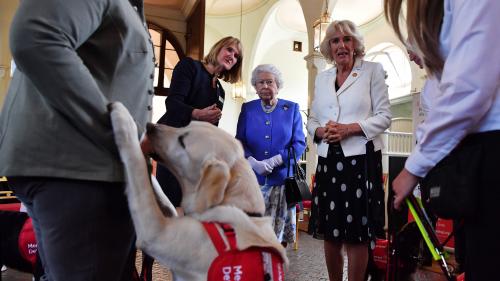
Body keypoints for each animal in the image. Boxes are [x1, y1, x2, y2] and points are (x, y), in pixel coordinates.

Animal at [110, 102, 290, 280]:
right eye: (184, 126)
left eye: (182, 141)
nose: (150, 126)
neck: (239, 208)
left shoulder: (157, 234)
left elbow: (138, 171)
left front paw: (124, 118)